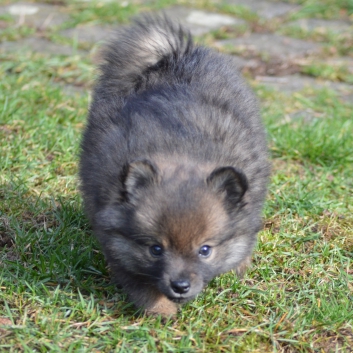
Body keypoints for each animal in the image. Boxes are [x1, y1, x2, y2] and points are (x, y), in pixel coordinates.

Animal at [78, 15, 268, 314]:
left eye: (205, 250)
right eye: (156, 249)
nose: (180, 286)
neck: (182, 151)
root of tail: (172, 55)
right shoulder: (118, 244)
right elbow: (141, 284)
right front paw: (162, 310)